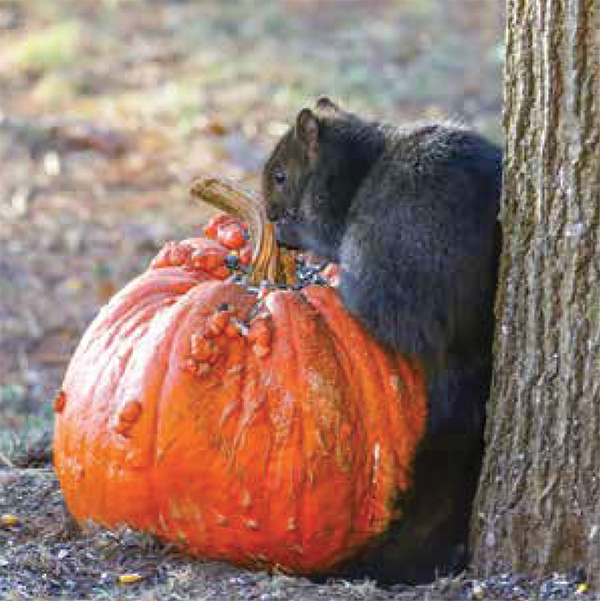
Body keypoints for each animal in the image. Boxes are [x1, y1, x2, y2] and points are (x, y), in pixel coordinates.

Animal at [262, 97, 502, 580]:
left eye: (280, 176)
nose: (269, 214)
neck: (349, 154)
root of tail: (462, 343)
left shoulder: (328, 205)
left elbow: (323, 235)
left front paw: (290, 235)